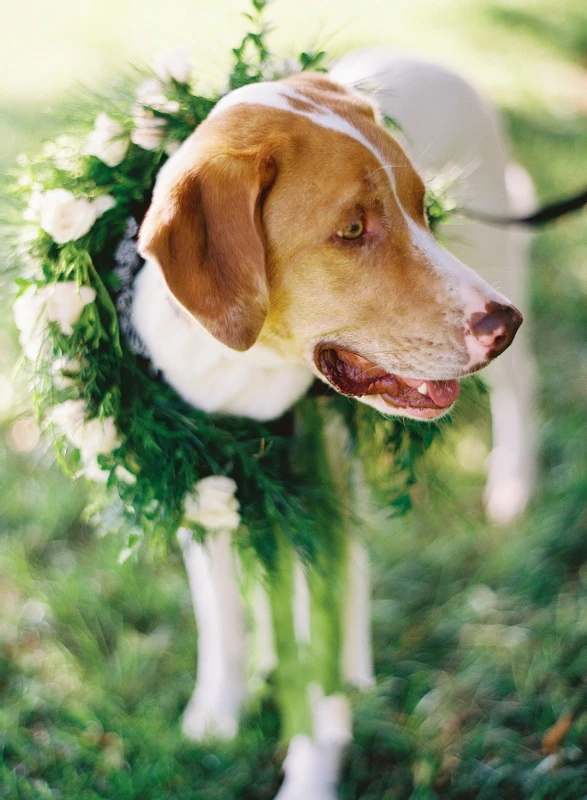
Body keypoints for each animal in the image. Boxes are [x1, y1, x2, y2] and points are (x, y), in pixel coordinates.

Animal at [132, 53, 532, 796]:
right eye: (351, 230)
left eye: (424, 209)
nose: (504, 324)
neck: (242, 375)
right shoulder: (196, 487)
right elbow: (221, 617)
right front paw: (217, 712)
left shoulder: (328, 500)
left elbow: (319, 679)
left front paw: (309, 779)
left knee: (524, 391)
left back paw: (513, 488)